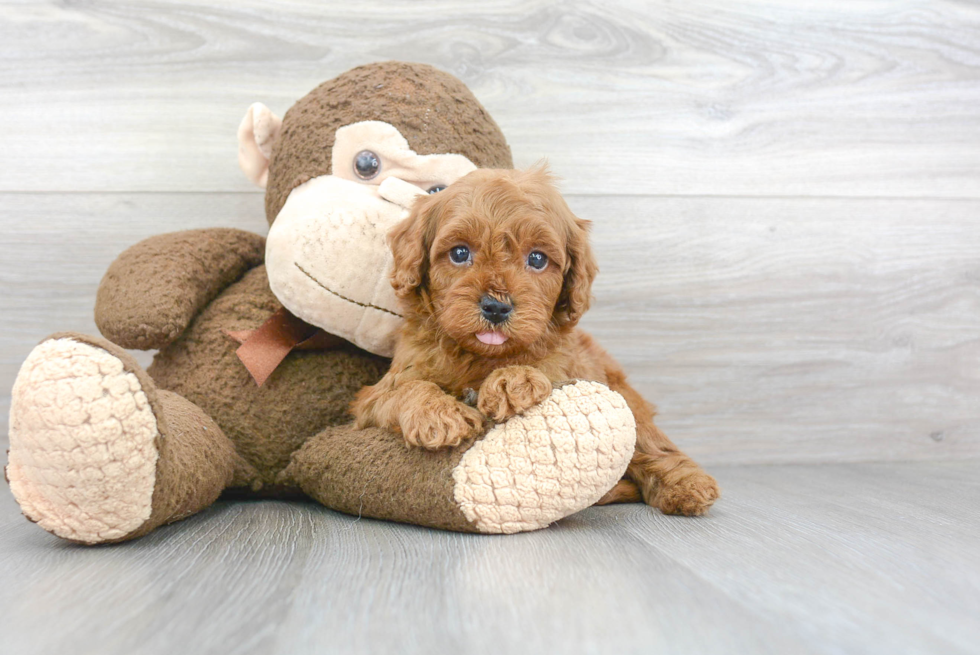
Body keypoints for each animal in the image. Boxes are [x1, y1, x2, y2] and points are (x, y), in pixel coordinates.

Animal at [352, 167, 720, 516]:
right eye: (459, 253)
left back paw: (688, 487)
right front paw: (439, 416)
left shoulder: (570, 368)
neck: (480, 357)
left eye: (538, 259)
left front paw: (513, 381)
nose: (496, 306)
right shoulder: (377, 396)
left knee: (655, 447)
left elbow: (539, 368)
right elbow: (406, 389)